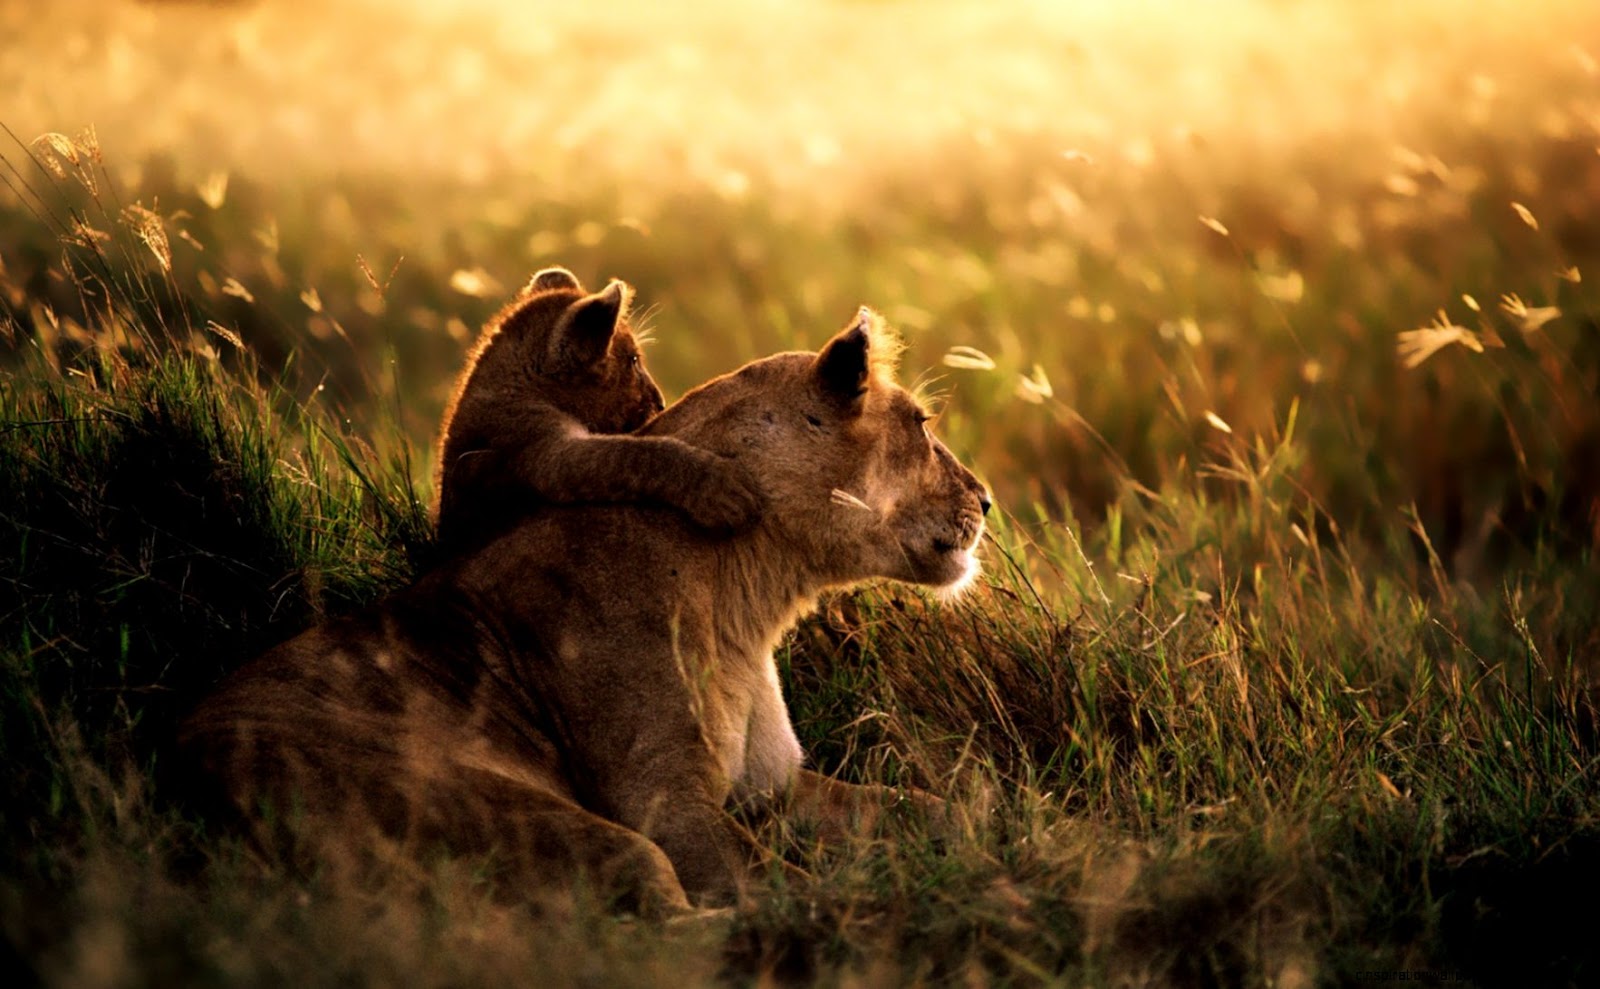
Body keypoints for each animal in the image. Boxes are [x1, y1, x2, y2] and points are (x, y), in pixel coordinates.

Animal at [178, 307, 990, 914]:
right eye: (922, 424)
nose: (985, 500)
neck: (751, 595)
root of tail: (180, 781)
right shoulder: (664, 801)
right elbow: (778, 883)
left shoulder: (775, 785)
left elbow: (929, 805)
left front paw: (986, 829)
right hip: (533, 817)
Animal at [433, 266, 762, 553]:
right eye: (633, 360)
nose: (661, 401)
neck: (519, 386)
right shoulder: (544, 454)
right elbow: (632, 455)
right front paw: (721, 488)